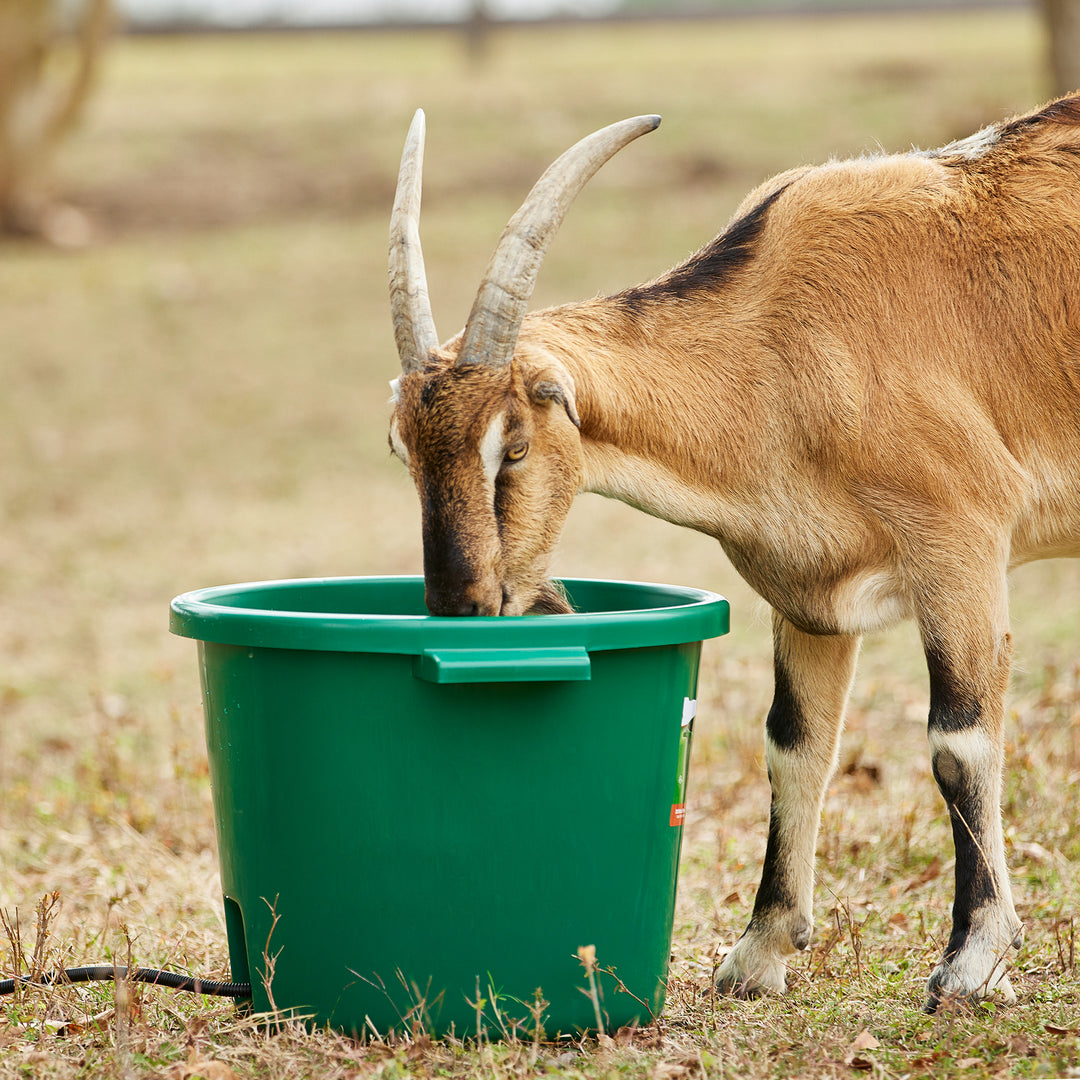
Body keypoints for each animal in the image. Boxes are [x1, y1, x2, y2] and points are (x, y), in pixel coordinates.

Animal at [386, 97, 1080, 1006]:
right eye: (405, 451)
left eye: (516, 447)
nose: (465, 604)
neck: (781, 337)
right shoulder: (809, 596)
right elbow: (793, 746)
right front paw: (758, 955)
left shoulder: (961, 542)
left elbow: (958, 743)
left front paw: (973, 962)